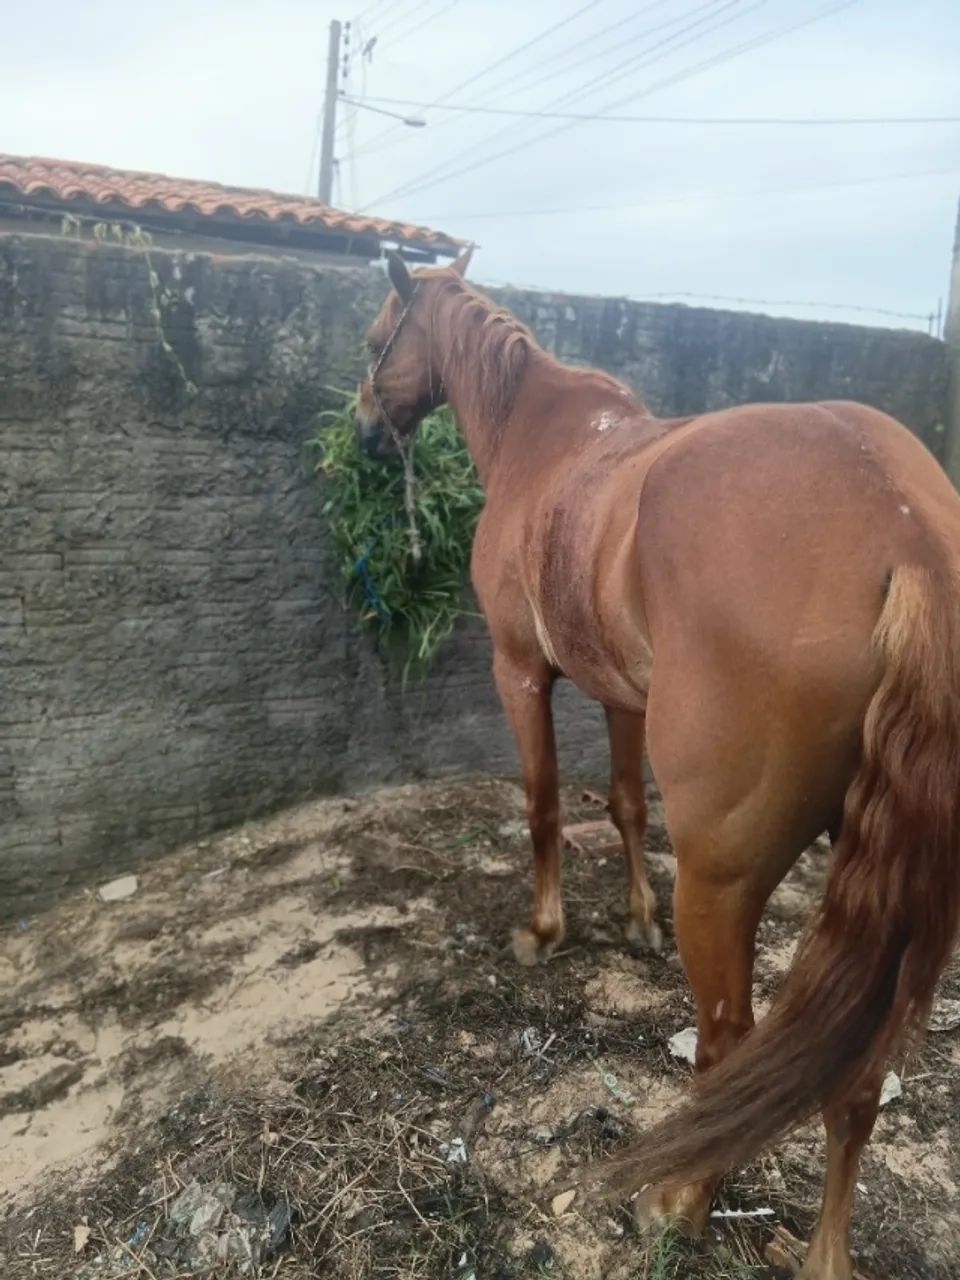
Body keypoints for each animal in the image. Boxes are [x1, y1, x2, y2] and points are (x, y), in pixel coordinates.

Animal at [354, 247, 960, 1280]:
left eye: (374, 340)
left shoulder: (520, 672)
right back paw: (821, 1253)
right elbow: (626, 803)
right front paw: (632, 919)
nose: (359, 427)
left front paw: (545, 930)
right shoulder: (622, 696)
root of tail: (909, 534)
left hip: (722, 884)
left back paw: (678, 1201)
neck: (538, 435)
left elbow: (545, 804)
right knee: (859, 1079)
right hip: (901, 904)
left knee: (727, 1047)